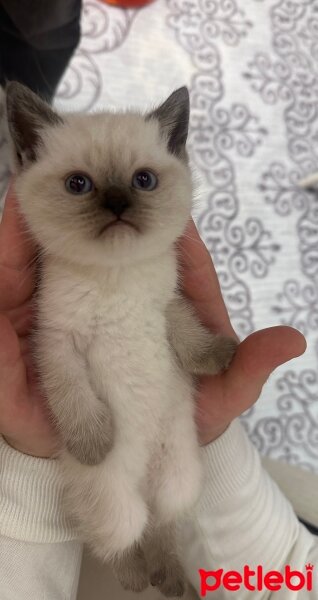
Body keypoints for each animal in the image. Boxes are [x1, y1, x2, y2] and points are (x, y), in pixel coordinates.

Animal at [6, 83, 237, 596]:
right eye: (79, 185)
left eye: (143, 180)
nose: (117, 204)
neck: (117, 276)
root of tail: (145, 482)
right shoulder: (58, 342)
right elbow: (74, 397)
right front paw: (93, 443)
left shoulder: (166, 306)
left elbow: (189, 333)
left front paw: (220, 357)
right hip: (118, 505)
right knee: (119, 541)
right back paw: (137, 579)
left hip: (180, 478)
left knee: (163, 525)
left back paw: (171, 579)